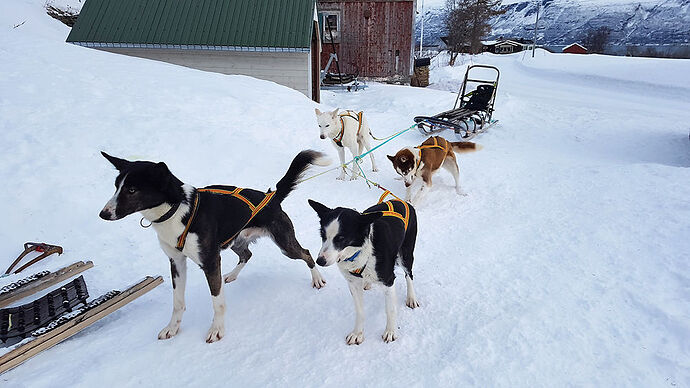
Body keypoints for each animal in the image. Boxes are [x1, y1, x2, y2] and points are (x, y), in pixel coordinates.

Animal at [99, 150, 330, 342]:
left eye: (131, 190)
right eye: (116, 187)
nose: (103, 214)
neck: (177, 210)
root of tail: (270, 196)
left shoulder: (210, 262)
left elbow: (217, 302)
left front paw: (217, 330)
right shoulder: (177, 262)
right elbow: (177, 302)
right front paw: (172, 328)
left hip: (285, 244)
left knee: (306, 253)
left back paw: (317, 279)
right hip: (235, 240)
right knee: (247, 254)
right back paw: (232, 275)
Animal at [308, 199, 420, 344]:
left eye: (341, 238)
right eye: (322, 234)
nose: (320, 261)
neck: (361, 251)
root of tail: (400, 201)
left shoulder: (388, 281)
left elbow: (390, 309)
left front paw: (390, 331)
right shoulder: (353, 284)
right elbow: (360, 311)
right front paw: (357, 333)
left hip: (405, 254)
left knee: (409, 275)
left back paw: (411, 297)